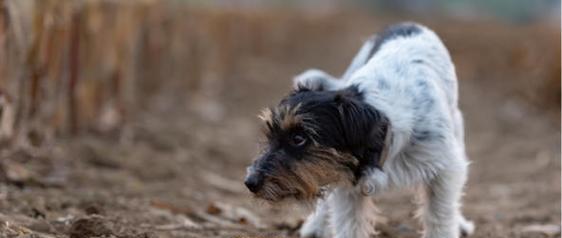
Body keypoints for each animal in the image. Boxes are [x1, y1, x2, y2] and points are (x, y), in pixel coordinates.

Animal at [243, 22, 470, 238]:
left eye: (299, 138)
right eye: (270, 135)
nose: (249, 182)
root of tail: (410, 24)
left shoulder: (445, 170)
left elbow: (440, 216)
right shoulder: (346, 184)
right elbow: (348, 225)